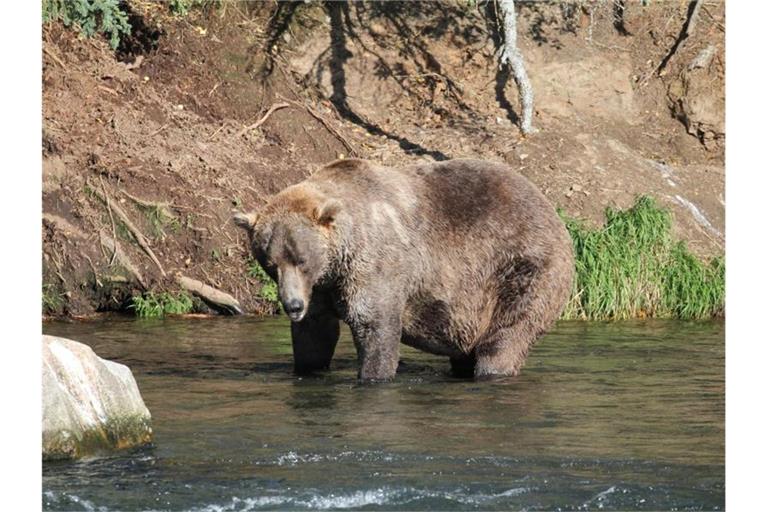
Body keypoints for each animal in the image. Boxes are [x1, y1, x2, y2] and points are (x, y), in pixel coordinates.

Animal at [234, 159, 568, 380]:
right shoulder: (321, 288)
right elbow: (315, 334)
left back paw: (491, 369)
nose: (292, 305)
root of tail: (550, 207)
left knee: (506, 335)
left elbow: (374, 325)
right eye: (270, 263)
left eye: (301, 259)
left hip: (521, 268)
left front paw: (373, 374)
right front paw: (308, 367)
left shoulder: (375, 265)